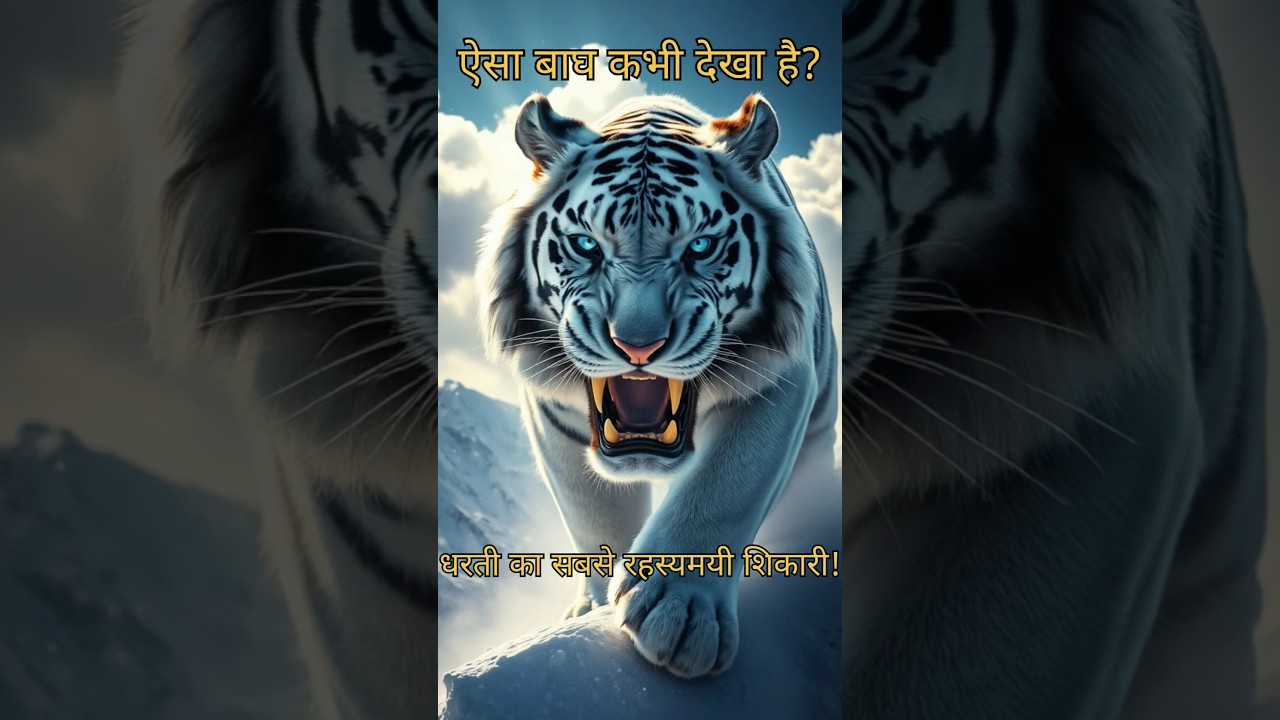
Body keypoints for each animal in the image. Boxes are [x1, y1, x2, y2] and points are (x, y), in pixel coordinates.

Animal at [475, 92, 839, 679]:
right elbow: (594, 514)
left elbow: (724, 487)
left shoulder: (779, 381)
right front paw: (596, 611)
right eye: (585, 245)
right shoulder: (551, 409)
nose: (638, 346)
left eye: (702, 247)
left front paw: (681, 614)